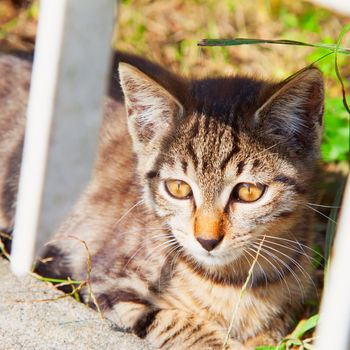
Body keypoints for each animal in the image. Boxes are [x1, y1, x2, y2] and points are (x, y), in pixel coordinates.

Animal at [0, 52, 322, 350]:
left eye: (248, 192)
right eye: (178, 188)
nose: (207, 240)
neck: (232, 280)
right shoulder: (105, 283)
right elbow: (176, 322)